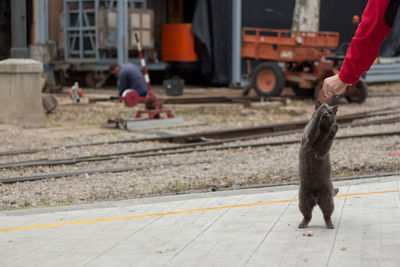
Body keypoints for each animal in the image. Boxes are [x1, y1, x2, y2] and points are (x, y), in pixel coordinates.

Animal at [298, 101, 340, 229]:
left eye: (330, 112)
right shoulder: (309, 138)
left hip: (327, 200)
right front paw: (321, 107)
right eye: (326, 111)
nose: (326, 113)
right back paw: (302, 224)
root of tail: (316, 199)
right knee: (307, 216)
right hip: (304, 200)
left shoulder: (322, 152)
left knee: (327, 215)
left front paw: (334, 128)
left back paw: (330, 225)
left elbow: (329, 140)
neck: (321, 133)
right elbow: (313, 126)